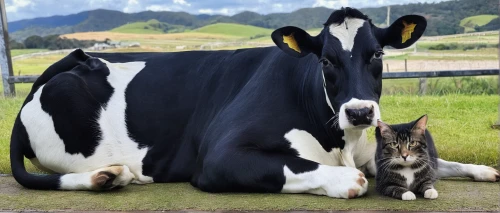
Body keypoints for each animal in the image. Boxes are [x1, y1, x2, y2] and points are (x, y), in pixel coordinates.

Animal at [9, 7, 498, 198]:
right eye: (325, 59)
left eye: (376, 54)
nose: (360, 111)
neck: (342, 139)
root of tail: (73, 60)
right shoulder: (220, 155)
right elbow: (341, 176)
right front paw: (345, 182)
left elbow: (444, 164)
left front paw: (483, 170)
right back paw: (106, 175)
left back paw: (110, 176)